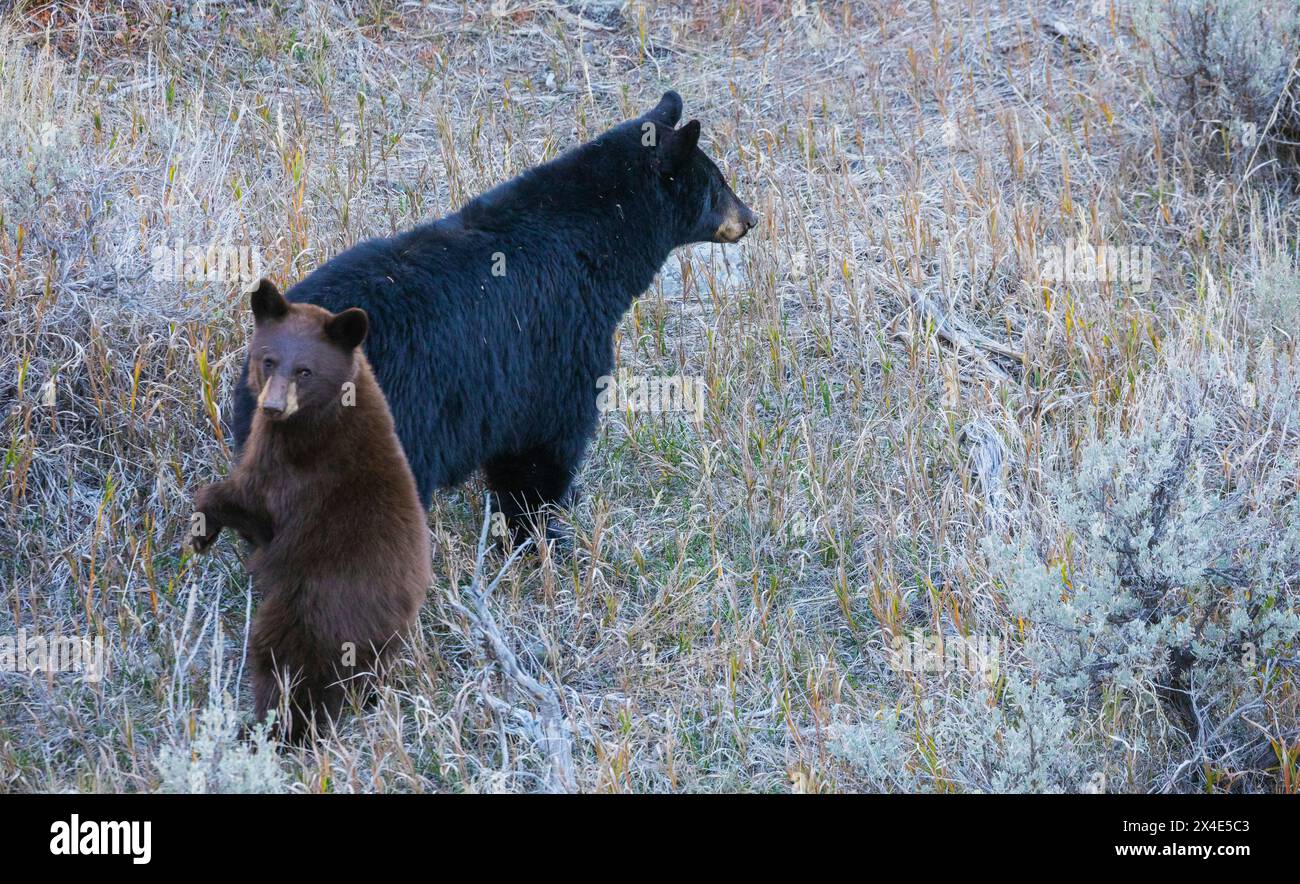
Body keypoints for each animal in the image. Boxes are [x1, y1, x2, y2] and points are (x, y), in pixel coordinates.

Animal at [195, 280, 426, 738]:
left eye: (305, 371)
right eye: (268, 360)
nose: (271, 407)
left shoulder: (298, 472)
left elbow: (255, 508)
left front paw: (203, 527)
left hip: (313, 612)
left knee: (288, 668)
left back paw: (273, 729)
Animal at [232, 92, 759, 543]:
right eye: (718, 185)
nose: (750, 218)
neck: (593, 245)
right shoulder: (556, 343)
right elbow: (544, 445)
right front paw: (541, 532)